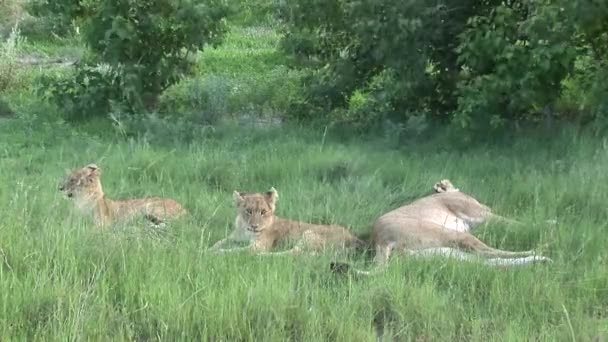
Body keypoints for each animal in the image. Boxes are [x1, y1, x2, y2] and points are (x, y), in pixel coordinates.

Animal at [211, 187, 364, 256]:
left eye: (263, 212)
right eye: (248, 211)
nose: (254, 226)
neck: (245, 231)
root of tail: (354, 238)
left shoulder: (258, 246)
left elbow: (236, 251)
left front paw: (214, 253)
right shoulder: (233, 238)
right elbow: (218, 243)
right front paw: (209, 249)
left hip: (309, 233)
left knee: (294, 253)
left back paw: (264, 256)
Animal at [332, 179, 552, 276]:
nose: (444, 182)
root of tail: (377, 239)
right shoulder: (482, 215)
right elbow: (515, 221)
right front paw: (546, 223)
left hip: (442, 252)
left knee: (487, 262)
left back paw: (541, 259)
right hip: (454, 236)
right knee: (490, 253)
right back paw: (541, 250)